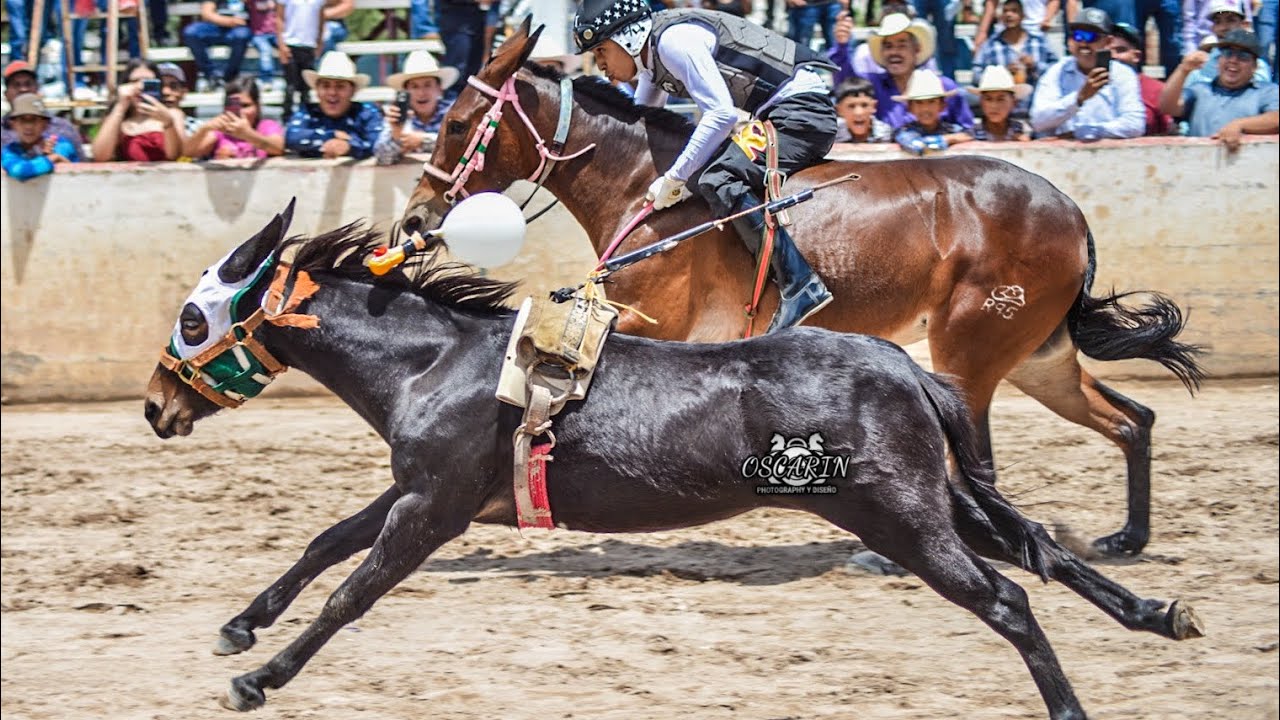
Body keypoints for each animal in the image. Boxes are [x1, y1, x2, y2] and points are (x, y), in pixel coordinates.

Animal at [144, 205, 1204, 717]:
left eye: (194, 319)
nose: (157, 406)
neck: (438, 361)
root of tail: (909, 368)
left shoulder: (432, 508)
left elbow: (348, 592)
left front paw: (259, 677)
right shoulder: (425, 491)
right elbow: (323, 546)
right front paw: (239, 629)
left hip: (901, 517)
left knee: (1011, 597)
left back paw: (1075, 700)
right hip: (940, 500)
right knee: (1044, 553)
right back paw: (1157, 612)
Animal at [398, 20, 1205, 558]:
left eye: (459, 123)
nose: (415, 217)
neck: (643, 188)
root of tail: (1068, 210)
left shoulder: (652, 327)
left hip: (971, 353)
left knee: (982, 461)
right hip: (1038, 355)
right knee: (1132, 420)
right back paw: (1128, 538)